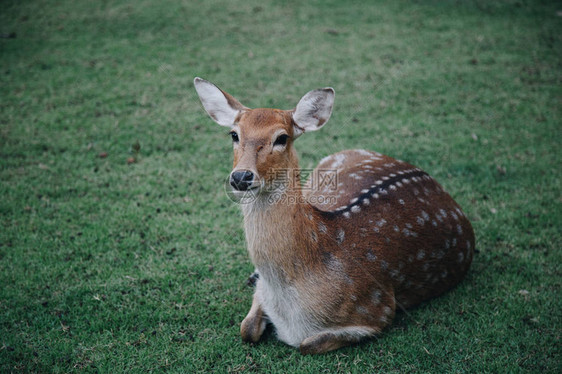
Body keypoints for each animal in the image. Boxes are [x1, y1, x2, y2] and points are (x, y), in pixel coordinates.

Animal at [192, 77, 472, 356]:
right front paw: (254, 283)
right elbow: (247, 329)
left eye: (282, 137)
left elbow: (307, 344)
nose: (241, 176)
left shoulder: (378, 309)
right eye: (234, 134)